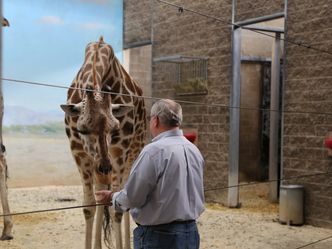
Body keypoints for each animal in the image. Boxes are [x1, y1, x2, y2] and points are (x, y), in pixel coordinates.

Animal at [61, 37, 147, 249]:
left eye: (114, 128)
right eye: (82, 129)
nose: (105, 167)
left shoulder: (119, 153)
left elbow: (117, 207)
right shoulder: (79, 154)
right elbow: (88, 206)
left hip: (133, 154)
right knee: (101, 195)